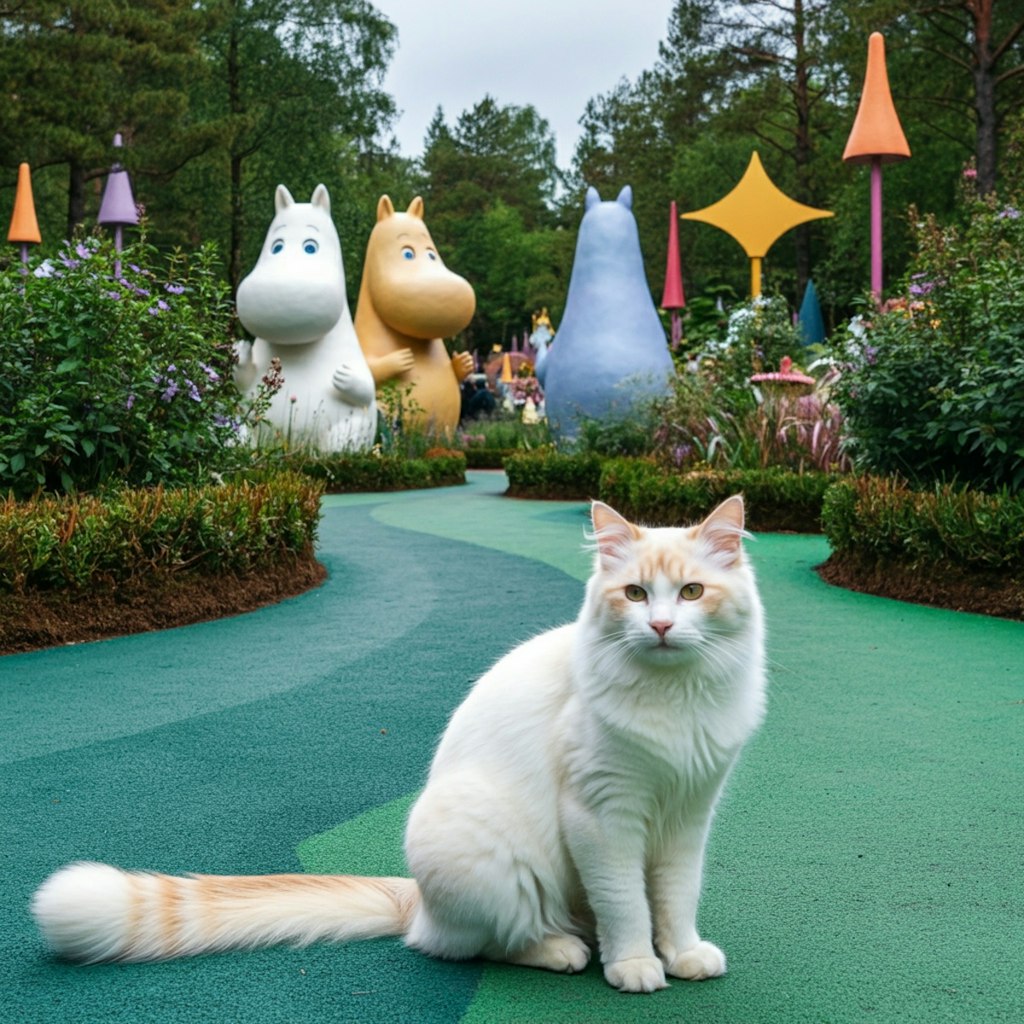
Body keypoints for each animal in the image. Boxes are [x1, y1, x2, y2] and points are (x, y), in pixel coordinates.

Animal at [32, 495, 765, 991]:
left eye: (691, 592)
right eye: (636, 594)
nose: (662, 626)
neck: (674, 701)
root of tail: (417, 898)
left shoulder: (688, 816)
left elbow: (673, 898)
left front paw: (683, 953)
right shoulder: (604, 818)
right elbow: (626, 904)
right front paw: (637, 964)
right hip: (491, 853)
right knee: (471, 945)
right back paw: (562, 950)